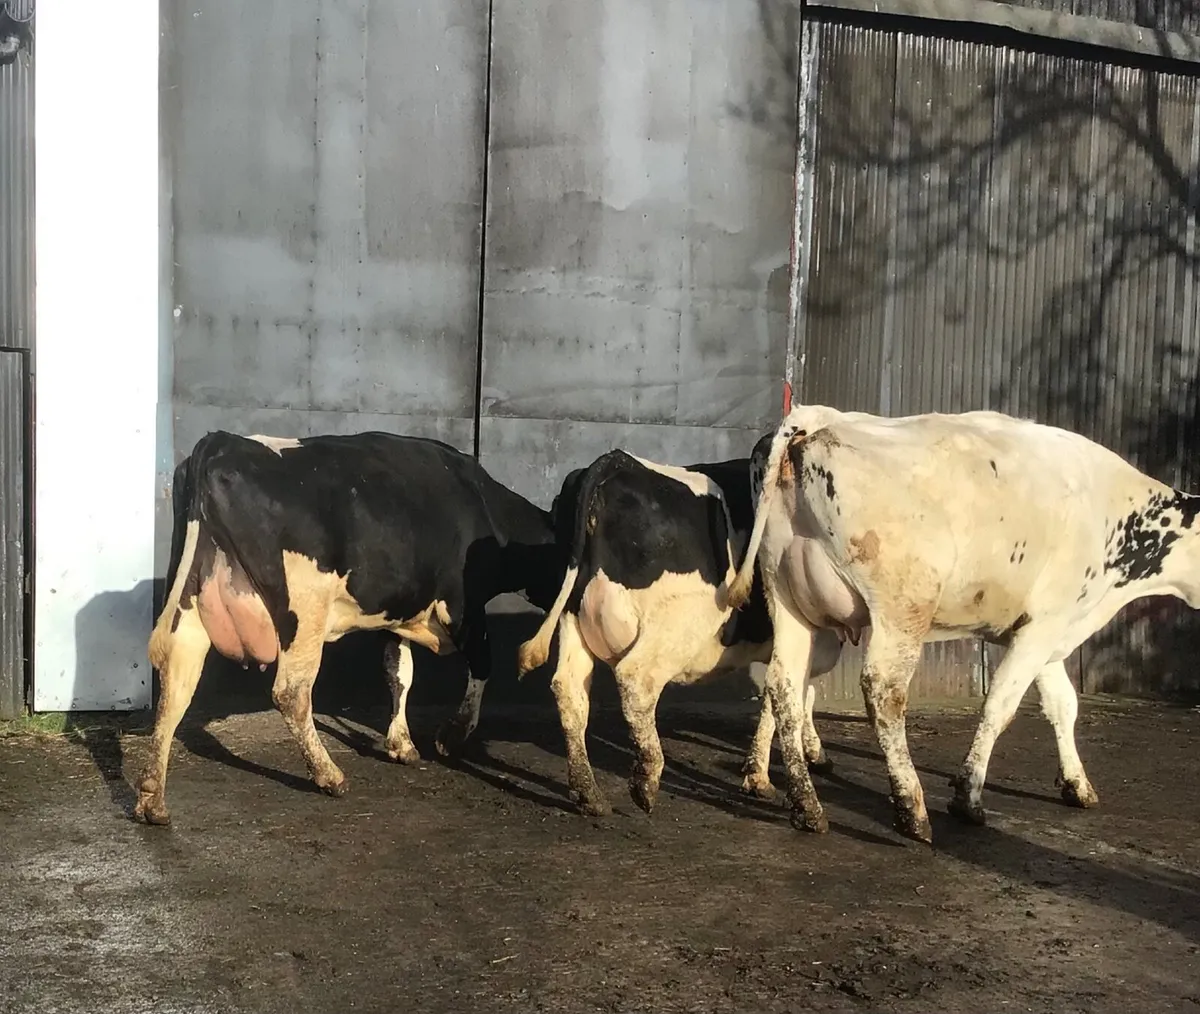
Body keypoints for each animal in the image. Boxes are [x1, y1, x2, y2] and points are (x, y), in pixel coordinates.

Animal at [136, 430, 563, 826]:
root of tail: (223, 441)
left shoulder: (397, 612)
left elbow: (399, 674)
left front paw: (402, 744)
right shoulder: (463, 606)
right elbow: (482, 664)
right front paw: (451, 736)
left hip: (190, 598)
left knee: (175, 684)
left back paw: (152, 797)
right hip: (304, 612)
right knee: (291, 692)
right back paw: (329, 775)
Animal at [515, 449, 843, 817]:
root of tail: (618, 461)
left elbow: (781, 696)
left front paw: (760, 773)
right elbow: (796, 694)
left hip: (573, 620)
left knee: (569, 689)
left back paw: (588, 793)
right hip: (672, 627)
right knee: (636, 680)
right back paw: (646, 779)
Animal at [727, 405, 1200, 844]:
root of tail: (817, 419)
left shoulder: (1049, 630)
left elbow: (1063, 705)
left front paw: (1076, 784)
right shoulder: (1043, 624)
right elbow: (1000, 706)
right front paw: (968, 796)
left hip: (791, 603)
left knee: (784, 686)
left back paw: (797, 801)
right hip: (902, 608)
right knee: (882, 691)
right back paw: (911, 810)